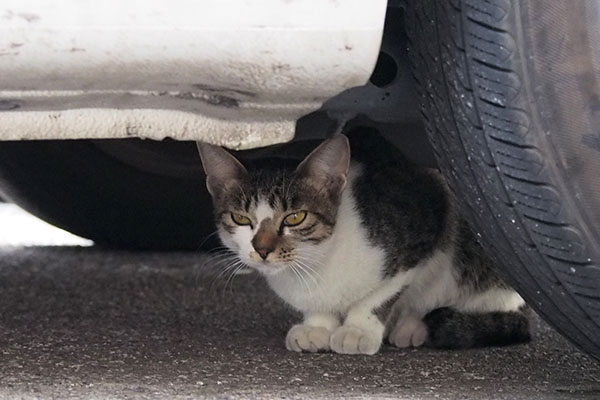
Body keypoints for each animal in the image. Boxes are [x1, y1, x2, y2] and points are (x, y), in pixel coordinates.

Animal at [198, 131, 528, 354]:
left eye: (295, 217)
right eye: (241, 218)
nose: (262, 249)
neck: (318, 261)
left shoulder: (424, 224)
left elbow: (381, 294)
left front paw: (358, 329)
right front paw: (317, 326)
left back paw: (413, 326)